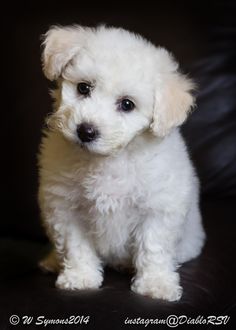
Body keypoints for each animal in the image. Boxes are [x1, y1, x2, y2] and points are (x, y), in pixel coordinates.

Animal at [38, 25, 205, 302]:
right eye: (83, 88)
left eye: (127, 104)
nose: (86, 131)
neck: (108, 159)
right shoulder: (66, 207)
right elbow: (76, 246)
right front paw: (81, 277)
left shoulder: (159, 207)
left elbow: (154, 247)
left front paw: (155, 284)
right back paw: (52, 261)